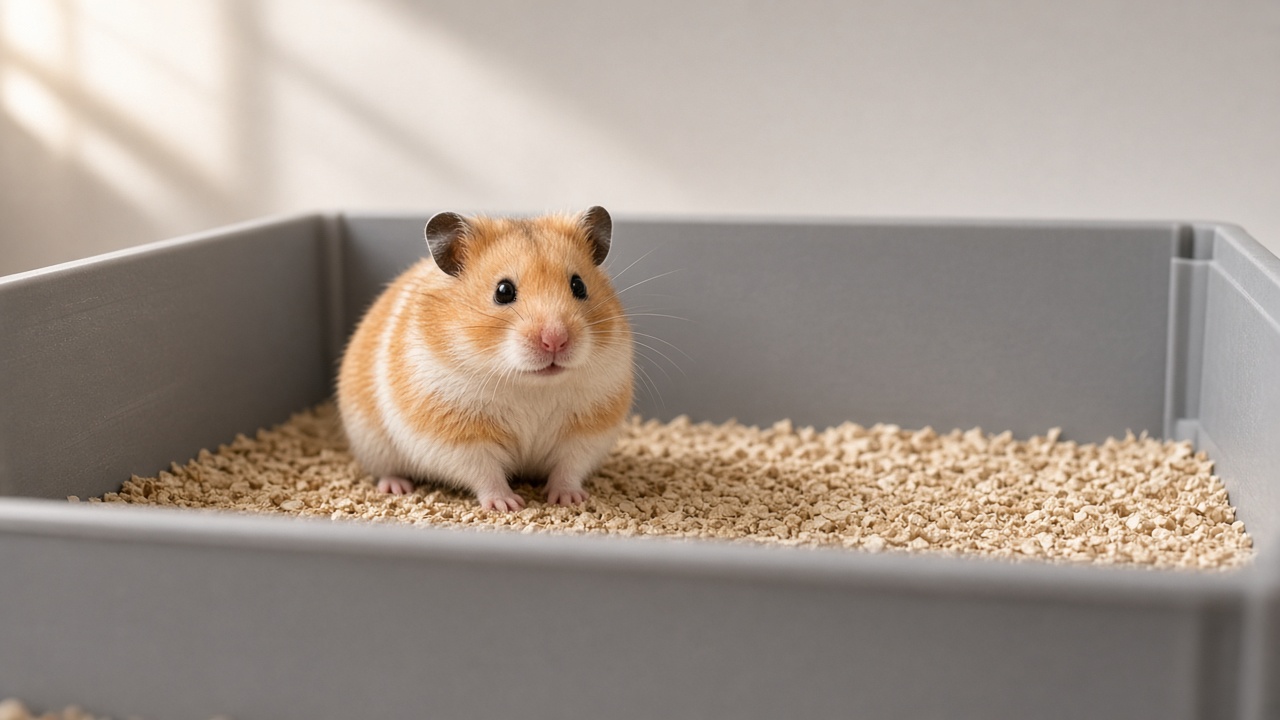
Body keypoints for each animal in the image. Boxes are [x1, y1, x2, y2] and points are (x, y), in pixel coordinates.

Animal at [336, 207, 634, 510]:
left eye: (579, 285)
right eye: (503, 291)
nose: (555, 340)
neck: (531, 386)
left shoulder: (587, 433)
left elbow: (569, 468)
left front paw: (568, 500)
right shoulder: (458, 438)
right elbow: (484, 472)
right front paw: (507, 504)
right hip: (373, 444)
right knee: (386, 470)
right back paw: (397, 487)